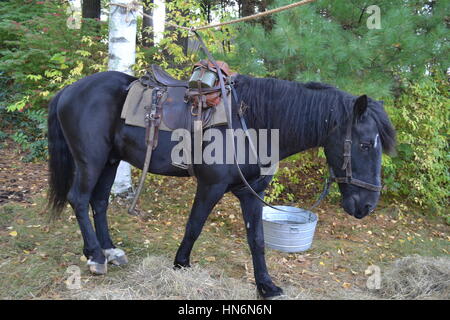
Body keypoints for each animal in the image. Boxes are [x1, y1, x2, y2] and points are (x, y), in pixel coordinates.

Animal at [47, 70, 396, 298]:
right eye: (366, 144)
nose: (367, 206)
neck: (252, 122)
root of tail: (69, 90)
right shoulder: (210, 187)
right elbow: (194, 225)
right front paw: (181, 264)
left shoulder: (253, 192)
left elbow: (257, 239)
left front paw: (266, 285)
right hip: (90, 160)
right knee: (80, 199)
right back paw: (95, 256)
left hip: (110, 161)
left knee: (99, 202)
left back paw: (109, 250)